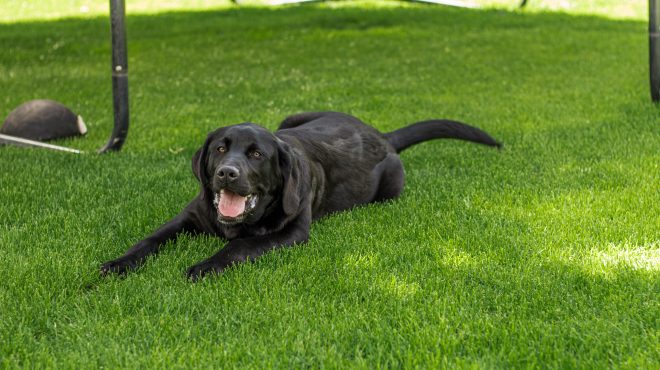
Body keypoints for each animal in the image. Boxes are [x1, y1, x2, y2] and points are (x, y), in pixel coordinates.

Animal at [99, 110, 500, 280]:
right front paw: (119, 263)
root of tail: (381, 135)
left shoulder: (291, 233)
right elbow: (150, 239)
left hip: (391, 185)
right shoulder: (187, 217)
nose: (227, 173)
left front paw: (206, 266)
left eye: (256, 155)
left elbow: (240, 246)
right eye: (219, 149)